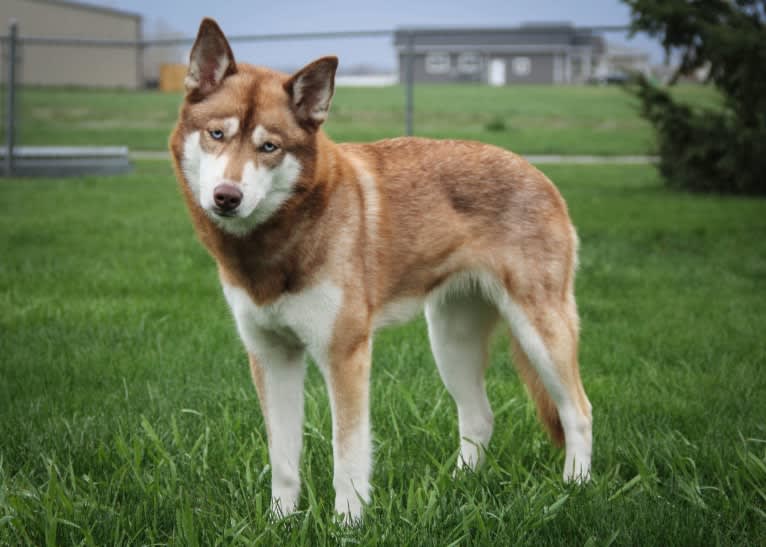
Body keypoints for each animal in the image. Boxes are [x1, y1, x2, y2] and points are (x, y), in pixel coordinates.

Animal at [172, 18, 592, 524]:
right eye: (216, 134)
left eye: (269, 146)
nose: (226, 196)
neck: (280, 241)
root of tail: (541, 175)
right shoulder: (271, 356)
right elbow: (284, 458)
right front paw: (279, 522)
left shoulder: (344, 354)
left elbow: (347, 456)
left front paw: (347, 524)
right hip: (451, 339)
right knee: (479, 416)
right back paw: (455, 486)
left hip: (540, 331)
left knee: (578, 411)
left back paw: (575, 488)